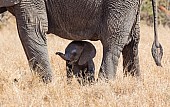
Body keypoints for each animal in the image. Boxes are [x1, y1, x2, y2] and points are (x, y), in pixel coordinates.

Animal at [0, 0, 163, 83]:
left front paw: (47, 86)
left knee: (113, 41)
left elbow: (32, 29)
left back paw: (103, 86)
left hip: (120, 4)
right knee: (132, 42)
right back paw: (134, 84)